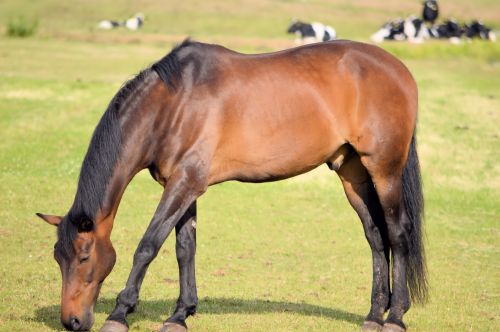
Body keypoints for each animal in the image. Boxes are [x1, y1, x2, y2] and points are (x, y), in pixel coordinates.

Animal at [37, 39, 426, 332]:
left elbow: (148, 245)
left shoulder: (183, 185)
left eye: (84, 257)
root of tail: (400, 70)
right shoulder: (186, 186)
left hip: (385, 170)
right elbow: (185, 248)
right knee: (376, 237)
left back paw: (395, 317)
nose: (71, 321)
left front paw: (120, 313)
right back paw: (374, 315)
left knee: (397, 234)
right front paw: (181, 314)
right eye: (58, 257)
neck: (173, 103)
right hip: (353, 174)